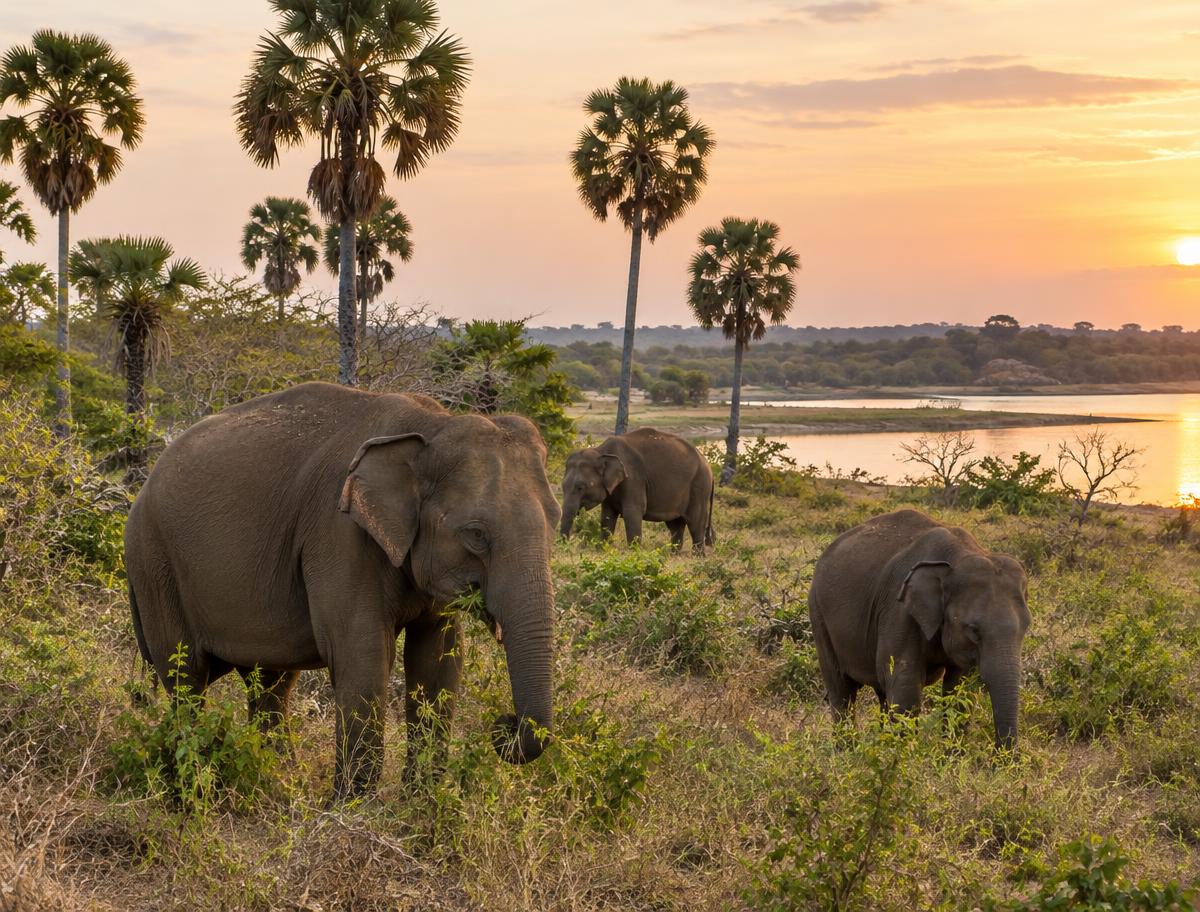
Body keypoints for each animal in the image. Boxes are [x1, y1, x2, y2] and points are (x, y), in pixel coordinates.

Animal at [125, 381, 561, 798]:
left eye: (556, 520)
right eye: (476, 535)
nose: (504, 725)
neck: (432, 425)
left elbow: (438, 658)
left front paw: (422, 803)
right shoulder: (338, 533)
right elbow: (362, 653)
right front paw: (352, 809)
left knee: (270, 684)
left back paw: (278, 783)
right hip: (154, 562)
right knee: (186, 678)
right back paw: (196, 787)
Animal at [559, 428, 714, 552]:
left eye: (581, 487)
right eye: (562, 486)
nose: (563, 546)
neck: (601, 451)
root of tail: (708, 465)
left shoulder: (634, 478)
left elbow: (632, 512)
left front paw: (634, 553)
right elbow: (607, 516)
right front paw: (603, 550)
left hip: (699, 486)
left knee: (695, 523)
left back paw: (697, 556)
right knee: (675, 525)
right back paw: (674, 554)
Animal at [808, 509, 1030, 747]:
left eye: (1027, 627)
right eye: (973, 630)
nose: (1000, 753)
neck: (958, 557)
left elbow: (958, 690)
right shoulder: (899, 611)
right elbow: (905, 689)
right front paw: (904, 754)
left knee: (880, 691)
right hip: (818, 614)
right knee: (841, 690)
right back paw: (848, 750)